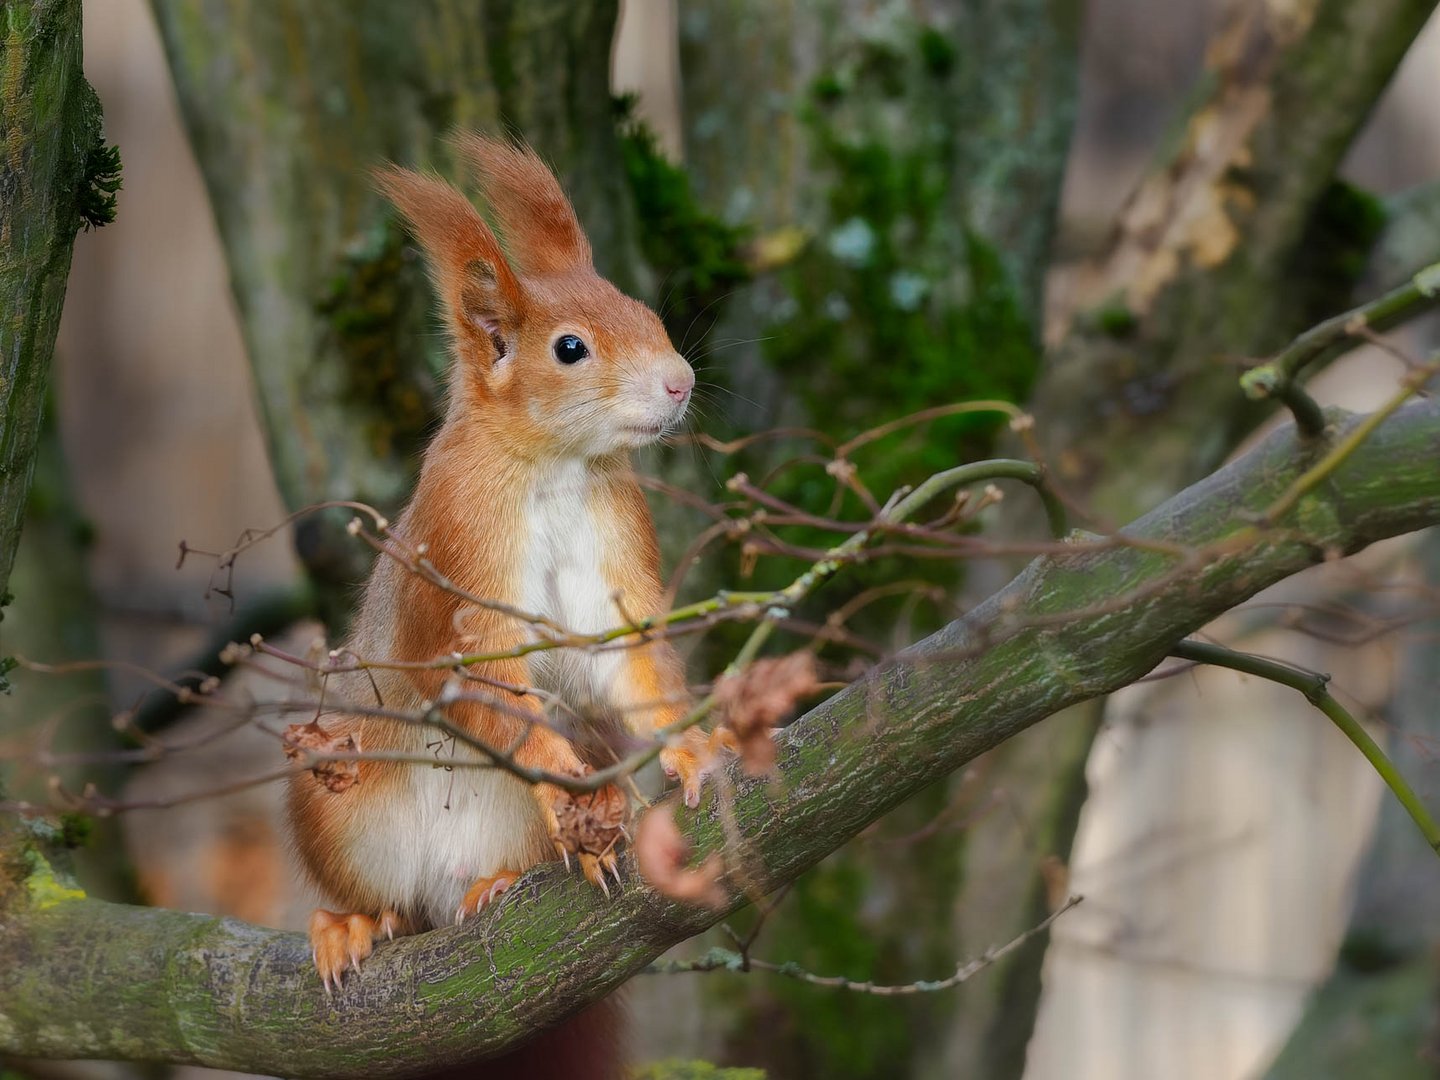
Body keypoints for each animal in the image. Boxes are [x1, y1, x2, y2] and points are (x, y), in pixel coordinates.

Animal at [283, 135, 711, 1065]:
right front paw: (570, 783)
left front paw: (697, 747)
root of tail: (440, 885)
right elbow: (483, 677)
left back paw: (507, 879)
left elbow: (635, 662)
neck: (554, 467)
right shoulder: (462, 559)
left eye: (642, 308)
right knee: (387, 907)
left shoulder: (616, 554)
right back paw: (351, 925)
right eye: (570, 348)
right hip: (336, 804)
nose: (680, 382)